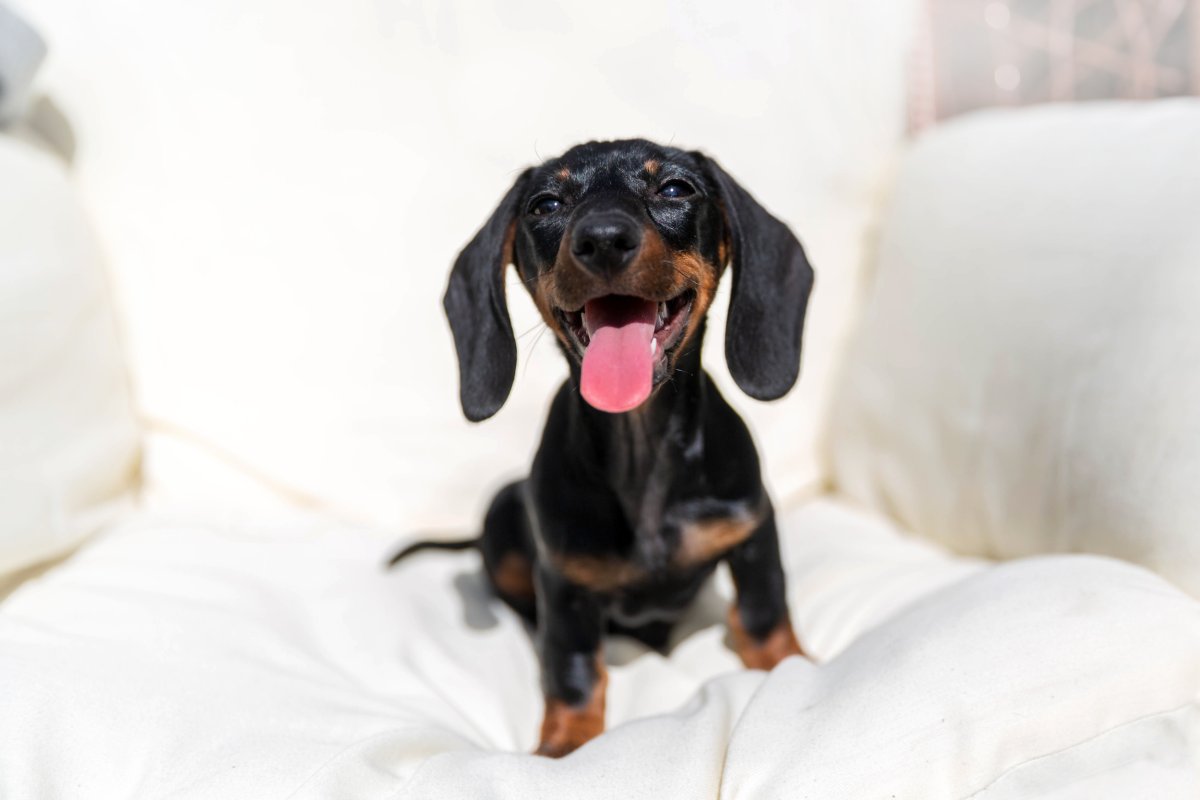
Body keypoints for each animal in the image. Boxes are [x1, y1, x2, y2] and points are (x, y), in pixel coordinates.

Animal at [393, 140, 816, 762]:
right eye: (546, 203)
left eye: (675, 189)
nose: (604, 239)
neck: (642, 449)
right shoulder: (565, 587)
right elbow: (573, 669)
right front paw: (565, 744)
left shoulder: (753, 532)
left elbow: (765, 613)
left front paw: (790, 668)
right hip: (503, 512)